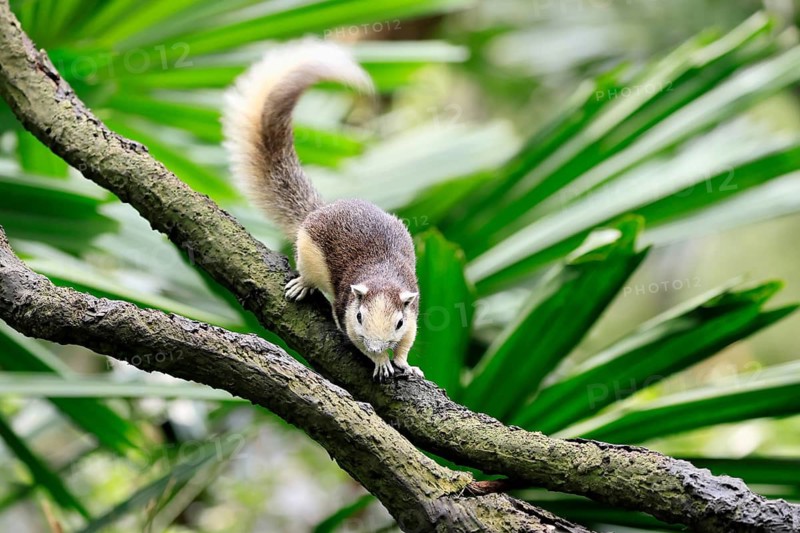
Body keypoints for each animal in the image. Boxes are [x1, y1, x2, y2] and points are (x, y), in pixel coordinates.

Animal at [222, 40, 424, 382]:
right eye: (359, 316)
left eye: (397, 322)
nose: (376, 343)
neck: (381, 274)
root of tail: (321, 209)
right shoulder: (344, 314)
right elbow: (355, 341)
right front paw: (379, 360)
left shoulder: (412, 315)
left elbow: (407, 343)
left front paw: (404, 362)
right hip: (308, 253)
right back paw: (302, 285)